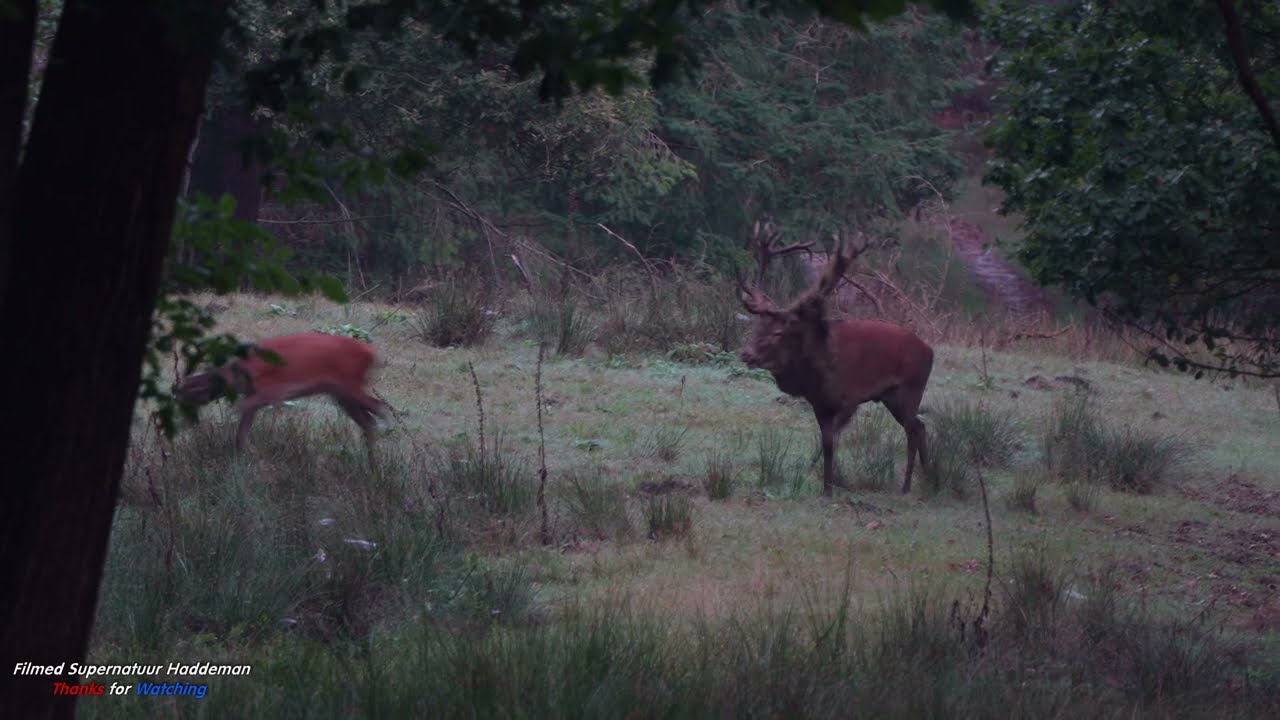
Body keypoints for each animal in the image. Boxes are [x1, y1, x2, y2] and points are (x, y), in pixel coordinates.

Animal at [176, 332, 387, 462]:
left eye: (186, 397)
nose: (188, 421)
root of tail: (372, 353)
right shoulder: (256, 395)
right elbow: (240, 433)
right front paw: (240, 460)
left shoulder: (271, 391)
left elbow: (239, 411)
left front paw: (257, 455)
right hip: (340, 393)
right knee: (369, 419)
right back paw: (371, 463)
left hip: (350, 383)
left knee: (380, 408)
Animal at [737, 221, 934, 496]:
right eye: (758, 327)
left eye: (778, 332)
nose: (746, 353)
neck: (820, 375)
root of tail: (930, 351)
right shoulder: (820, 405)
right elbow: (826, 444)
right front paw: (826, 488)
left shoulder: (850, 398)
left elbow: (831, 442)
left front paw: (829, 489)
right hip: (891, 397)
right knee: (920, 426)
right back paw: (928, 478)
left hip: (911, 389)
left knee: (913, 430)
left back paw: (907, 487)